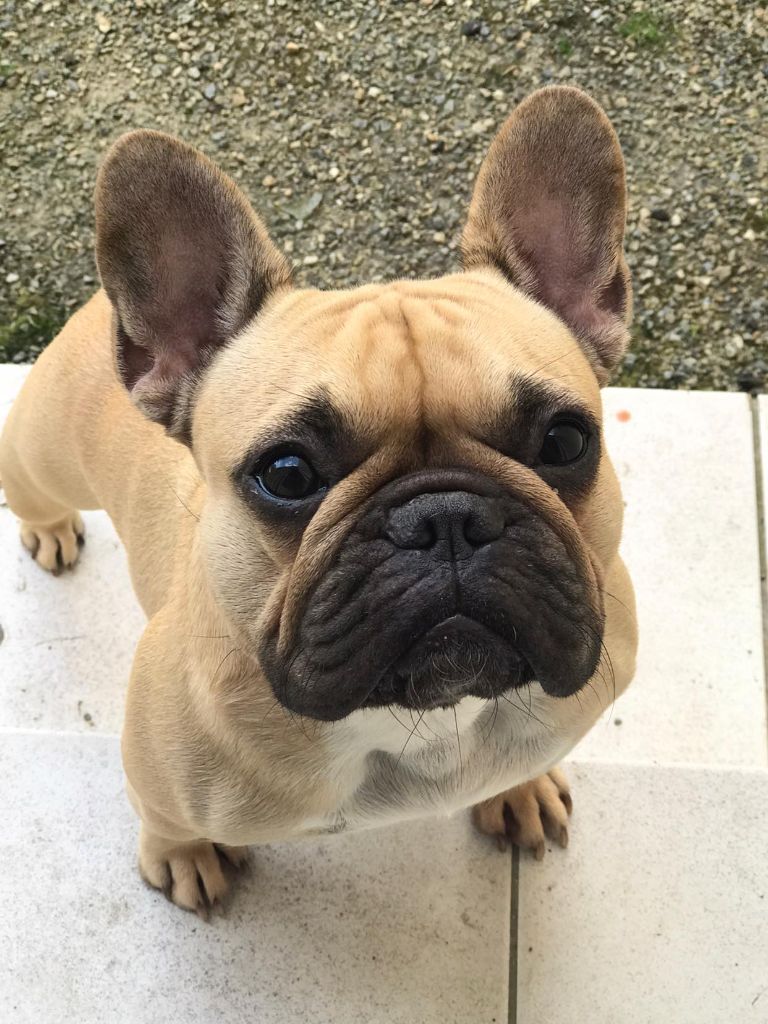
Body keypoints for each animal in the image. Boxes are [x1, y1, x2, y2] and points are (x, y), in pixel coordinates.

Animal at [0, 86, 637, 913]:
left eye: (564, 441)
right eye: (288, 473)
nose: (445, 519)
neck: (430, 721)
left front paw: (519, 790)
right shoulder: (159, 776)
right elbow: (160, 816)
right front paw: (184, 856)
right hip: (38, 448)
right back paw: (49, 529)